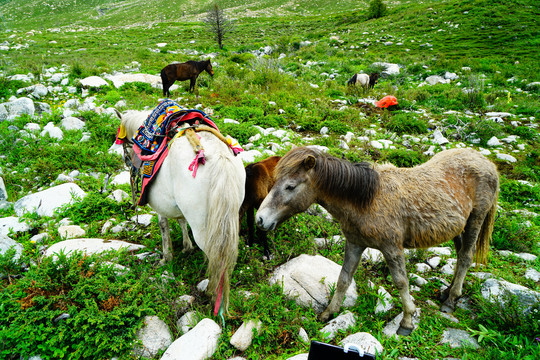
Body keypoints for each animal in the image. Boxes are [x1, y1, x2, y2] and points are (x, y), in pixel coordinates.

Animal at [121, 110, 247, 316]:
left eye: (124, 144)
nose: (127, 160)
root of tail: (219, 159)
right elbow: (181, 221)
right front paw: (187, 247)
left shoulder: (160, 207)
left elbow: (164, 227)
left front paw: (166, 258)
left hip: (204, 229)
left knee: (216, 258)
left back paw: (213, 296)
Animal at [255, 146, 500, 334]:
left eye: (290, 186)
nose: (260, 219)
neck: (366, 200)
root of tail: (487, 163)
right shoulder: (355, 244)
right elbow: (343, 279)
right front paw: (328, 313)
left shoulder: (392, 248)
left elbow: (401, 282)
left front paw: (407, 321)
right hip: (458, 227)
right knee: (459, 256)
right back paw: (448, 292)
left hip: (475, 220)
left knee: (466, 257)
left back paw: (451, 301)